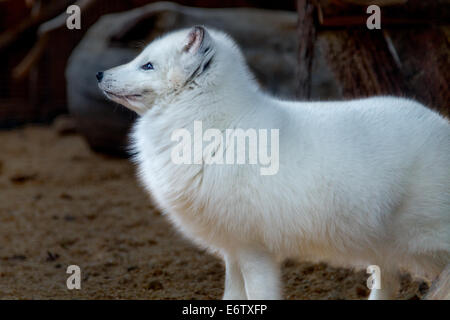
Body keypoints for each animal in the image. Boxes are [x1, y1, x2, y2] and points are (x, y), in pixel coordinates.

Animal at [98, 25, 450, 300]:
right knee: (387, 284)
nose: (100, 73)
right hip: (385, 247)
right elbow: (232, 294)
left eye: (147, 65)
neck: (217, 128)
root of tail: (441, 124)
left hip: (421, 239)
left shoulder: (255, 249)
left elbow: (258, 294)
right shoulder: (233, 249)